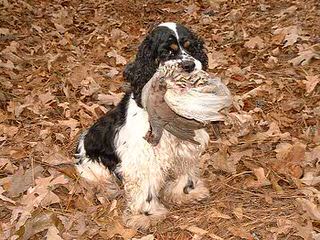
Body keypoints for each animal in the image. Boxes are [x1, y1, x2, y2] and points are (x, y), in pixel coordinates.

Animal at [75, 22, 210, 229]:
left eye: (190, 47)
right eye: (166, 52)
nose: (189, 65)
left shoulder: (186, 148)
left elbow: (186, 172)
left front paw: (186, 193)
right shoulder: (143, 158)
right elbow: (145, 189)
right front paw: (146, 215)